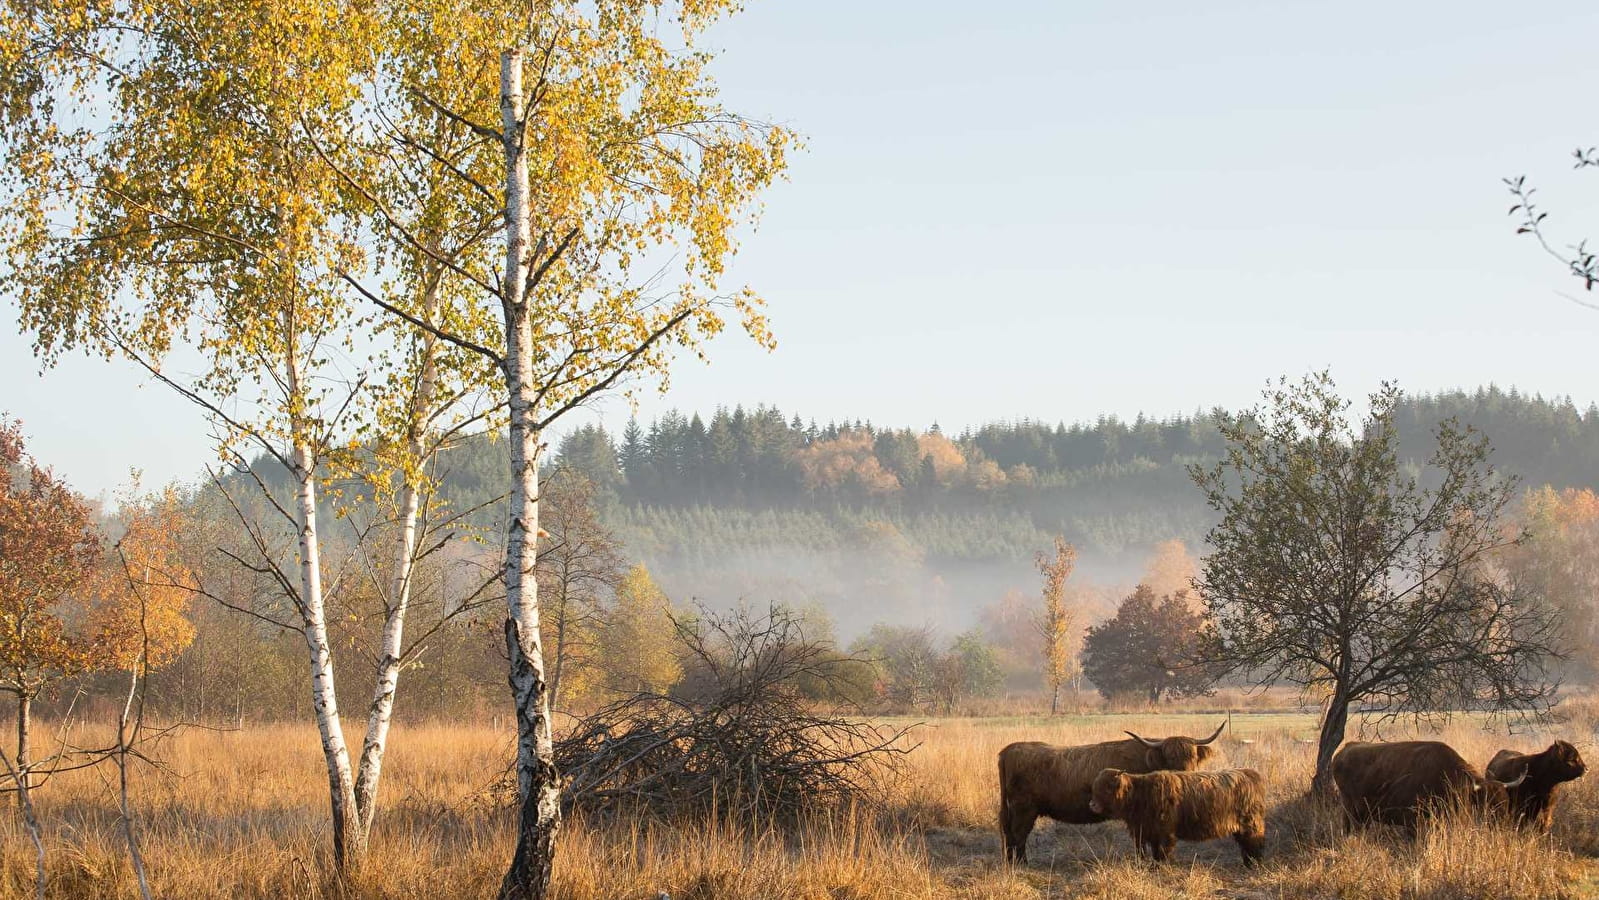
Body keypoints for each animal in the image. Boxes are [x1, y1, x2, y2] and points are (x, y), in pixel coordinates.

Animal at [991, 722, 1228, 863]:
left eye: (1193, 757)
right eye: (1169, 758)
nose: (1185, 774)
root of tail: (1009, 749)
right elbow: (1141, 839)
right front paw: (1144, 861)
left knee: (1010, 835)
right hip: (1024, 809)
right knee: (1018, 835)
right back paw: (1021, 863)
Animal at [1087, 767, 1260, 863]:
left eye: (1108, 787)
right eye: (1095, 787)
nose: (1092, 805)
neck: (1140, 795)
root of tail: (1249, 773)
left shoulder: (1164, 831)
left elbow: (1162, 851)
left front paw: (1158, 867)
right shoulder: (1145, 831)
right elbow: (1150, 851)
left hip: (1251, 824)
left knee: (1254, 842)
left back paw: (1253, 863)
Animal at [1323, 738, 1522, 831]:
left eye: (1506, 801)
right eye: (1489, 802)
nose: (1504, 822)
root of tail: (1345, 750)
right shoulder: (1413, 820)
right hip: (1352, 812)